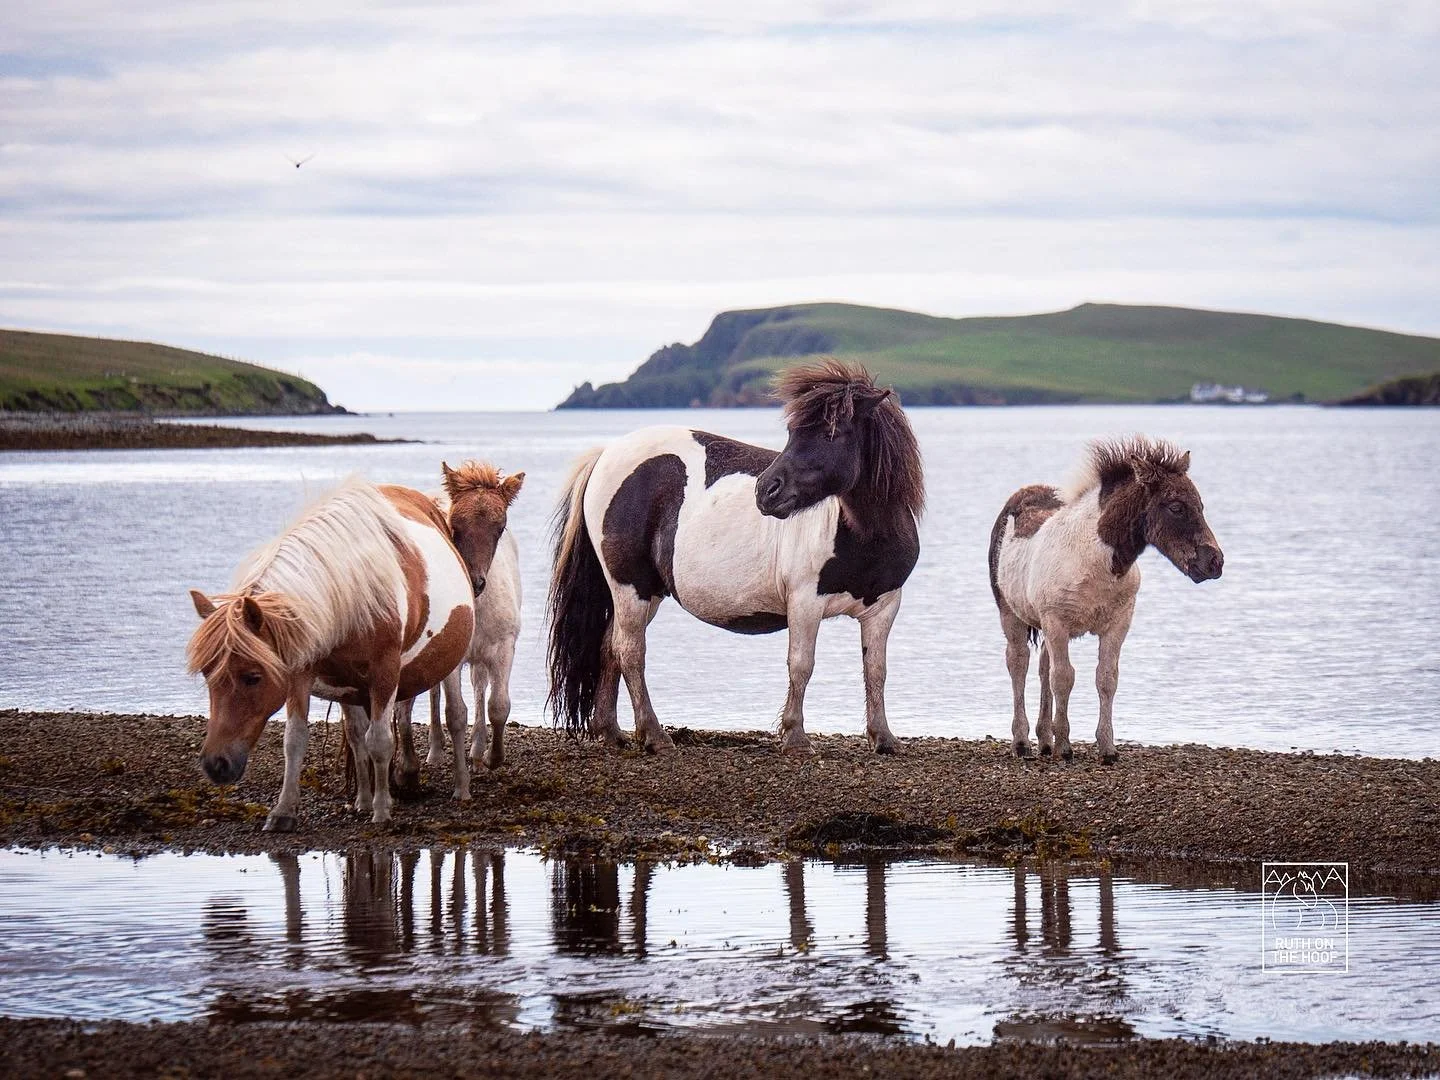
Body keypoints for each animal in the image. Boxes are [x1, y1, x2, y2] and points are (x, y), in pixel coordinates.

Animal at [186, 477, 475, 830]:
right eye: (207, 674)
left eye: (252, 677)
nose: (216, 764)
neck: (353, 586)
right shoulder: (300, 671)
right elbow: (296, 740)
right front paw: (284, 811)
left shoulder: (385, 673)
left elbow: (380, 741)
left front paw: (382, 811)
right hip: (349, 686)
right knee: (356, 734)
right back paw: (362, 799)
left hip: (447, 664)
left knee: (456, 716)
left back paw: (461, 788)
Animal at [389, 462, 524, 801]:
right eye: (454, 525)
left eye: (500, 527)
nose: (475, 582)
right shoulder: (452, 653)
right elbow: (454, 713)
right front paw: (461, 785)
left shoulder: (504, 647)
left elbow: (498, 705)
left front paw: (492, 757)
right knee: (426, 696)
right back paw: (428, 756)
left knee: (478, 685)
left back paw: (475, 752)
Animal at [547, 359, 924, 755]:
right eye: (793, 433)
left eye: (831, 434)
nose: (766, 491)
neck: (864, 535)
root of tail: (606, 453)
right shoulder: (805, 602)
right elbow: (801, 665)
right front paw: (795, 737)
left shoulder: (884, 608)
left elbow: (876, 670)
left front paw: (884, 738)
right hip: (630, 587)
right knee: (630, 651)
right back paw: (654, 735)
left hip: (646, 592)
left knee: (610, 647)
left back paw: (611, 731)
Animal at [988, 435, 1224, 763]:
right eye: (1176, 507)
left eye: (1201, 505)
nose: (1215, 562)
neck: (1095, 558)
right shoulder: (1057, 622)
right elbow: (1064, 678)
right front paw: (1065, 748)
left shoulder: (1118, 624)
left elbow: (1106, 678)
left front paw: (1107, 748)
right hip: (1011, 614)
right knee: (1019, 664)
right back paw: (1022, 743)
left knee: (1042, 666)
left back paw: (1044, 741)